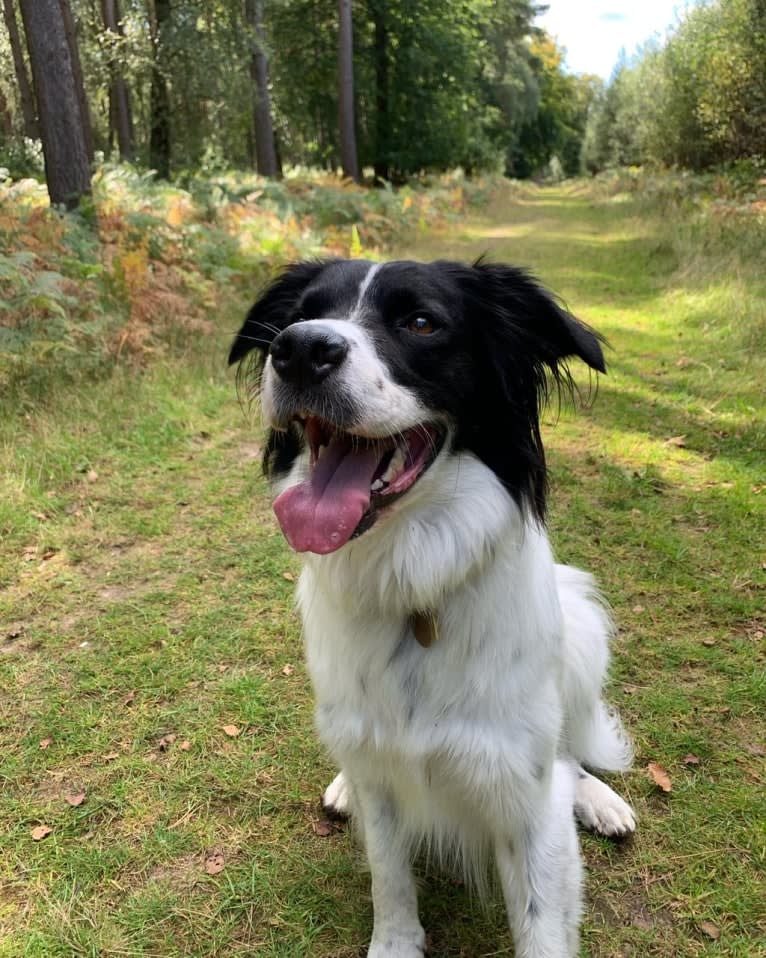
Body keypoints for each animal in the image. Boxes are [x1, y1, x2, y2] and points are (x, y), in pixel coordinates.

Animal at [230, 258, 636, 956]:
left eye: (422, 323)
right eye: (298, 317)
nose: (299, 350)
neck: (411, 583)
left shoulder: (524, 799)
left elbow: (541, 919)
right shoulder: (384, 776)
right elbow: (389, 879)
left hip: (582, 625)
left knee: (569, 750)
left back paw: (596, 797)